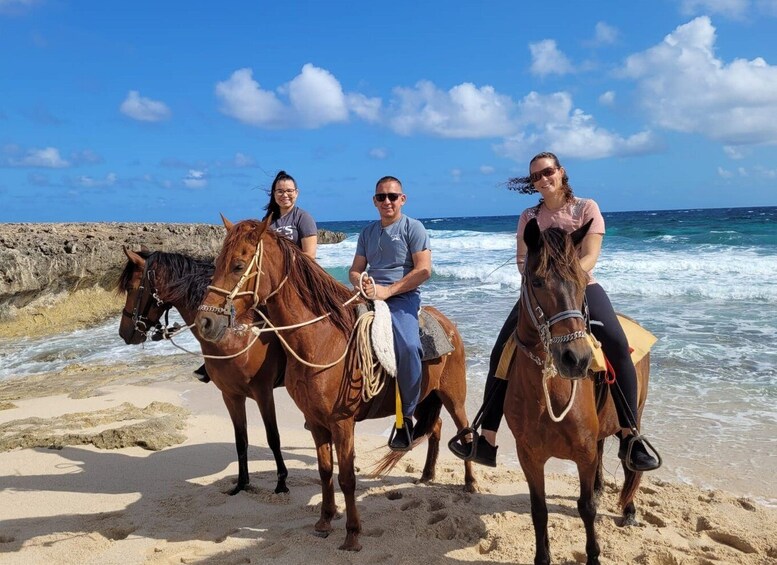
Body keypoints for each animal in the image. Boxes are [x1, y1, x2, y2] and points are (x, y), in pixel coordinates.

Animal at [118, 247, 292, 494]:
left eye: (132, 288)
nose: (124, 333)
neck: (235, 336)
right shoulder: (230, 396)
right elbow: (241, 440)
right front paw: (242, 483)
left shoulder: (263, 393)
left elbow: (273, 437)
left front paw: (281, 483)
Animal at [196, 217, 472, 552]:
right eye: (216, 263)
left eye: (238, 265)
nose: (205, 322)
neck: (319, 340)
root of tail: (446, 322)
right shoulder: (316, 422)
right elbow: (325, 471)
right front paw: (325, 521)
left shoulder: (342, 423)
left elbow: (347, 478)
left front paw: (352, 534)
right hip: (421, 399)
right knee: (436, 428)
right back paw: (428, 474)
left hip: (453, 396)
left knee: (464, 430)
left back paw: (470, 484)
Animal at [504, 216, 648, 564]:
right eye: (537, 282)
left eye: (582, 281)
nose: (577, 358)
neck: (547, 397)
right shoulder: (528, 455)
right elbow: (539, 510)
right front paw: (542, 558)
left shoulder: (583, 454)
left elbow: (587, 509)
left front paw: (593, 555)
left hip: (635, 414)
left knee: (630, 462)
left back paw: (629, 509)